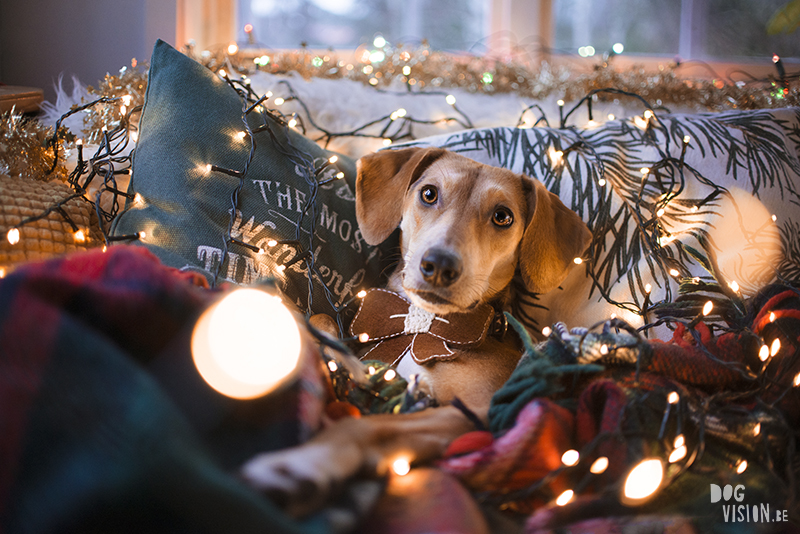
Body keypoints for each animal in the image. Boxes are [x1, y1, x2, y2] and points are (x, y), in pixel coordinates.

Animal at [241, 149, 592, 516]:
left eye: (502, 216)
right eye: (429, 194)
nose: (439, 265)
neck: (423, 326)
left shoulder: (473, 413)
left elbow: (368, 425)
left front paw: (304, 464)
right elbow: (322, 319)